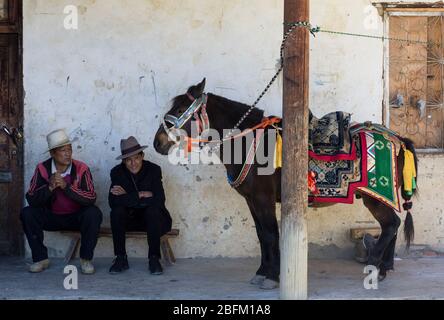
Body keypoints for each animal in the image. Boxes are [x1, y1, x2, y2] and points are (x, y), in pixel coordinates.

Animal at [153, 79, 416, 290]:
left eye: (179, 109)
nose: (158, 143)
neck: (250, 143)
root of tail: (398, 139)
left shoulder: (263, 199)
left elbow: (271, 234)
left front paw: (272, 277)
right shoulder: (252, 200)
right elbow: (261, 235)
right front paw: (262, 272)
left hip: (375, 195)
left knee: (391, 224)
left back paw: (374, 268)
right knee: (391, 224)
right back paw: (384, 268)